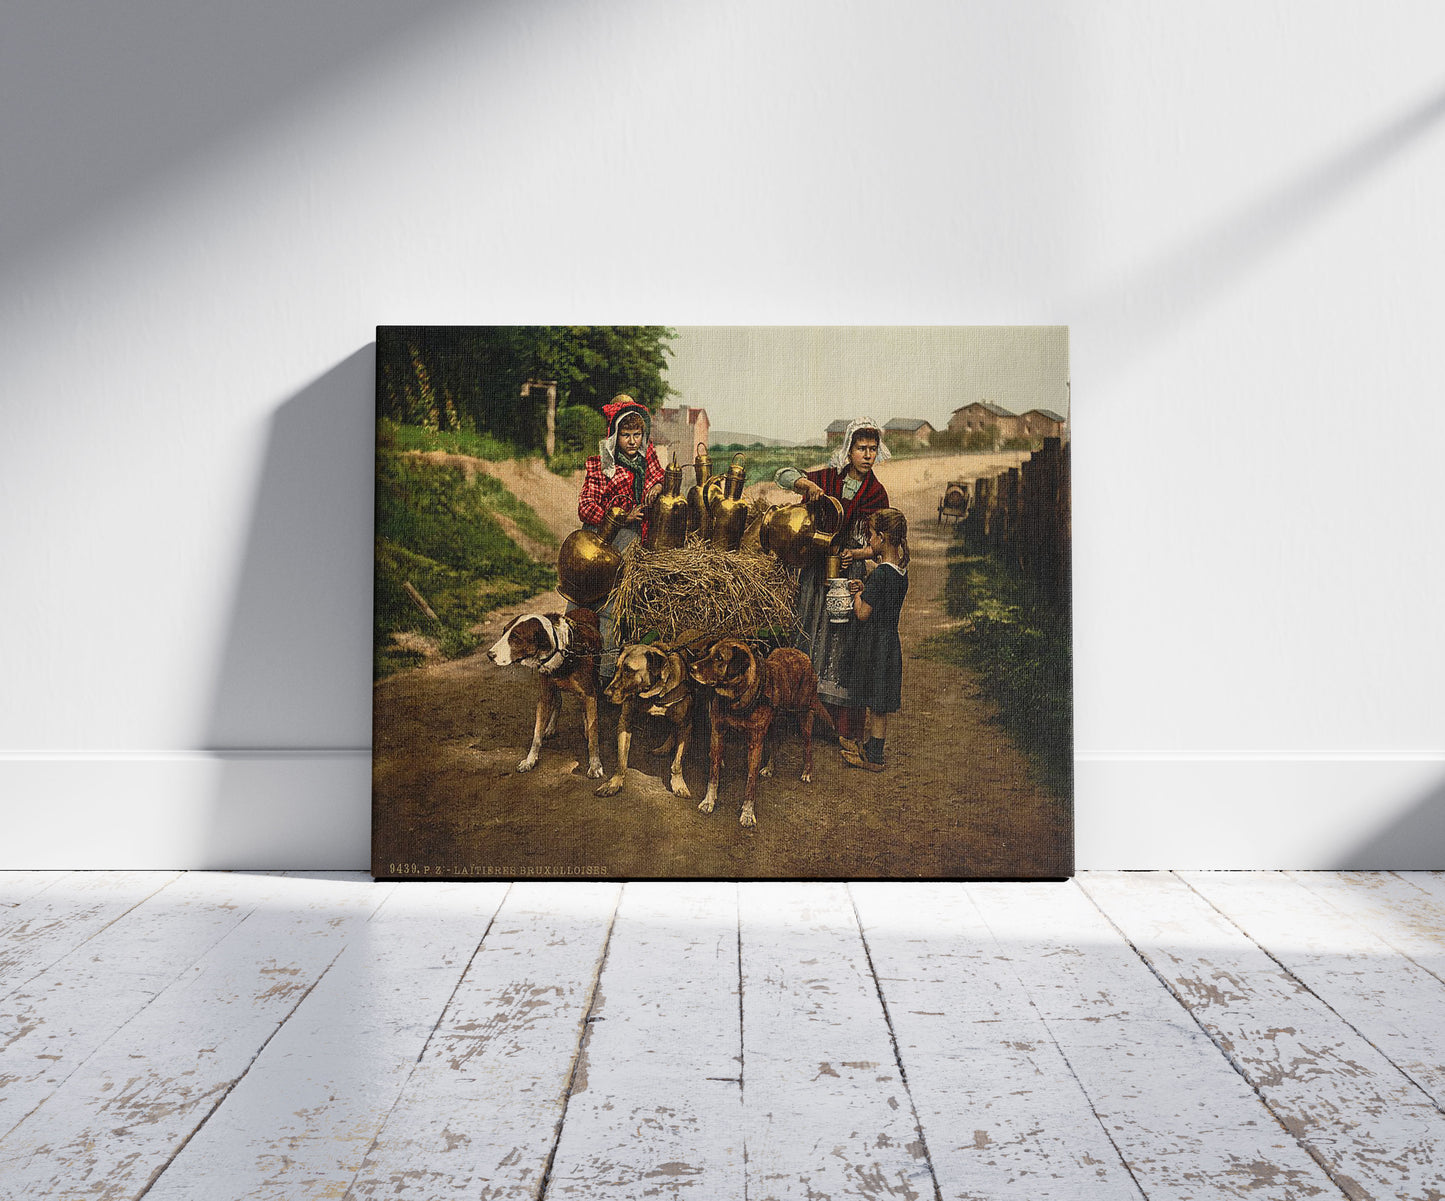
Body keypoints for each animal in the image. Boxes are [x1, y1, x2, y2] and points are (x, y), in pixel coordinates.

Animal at [482, 609, 601, 780]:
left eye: (515, 637)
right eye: (504, 631)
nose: (489, 655)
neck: (562, 651)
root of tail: (585, 609)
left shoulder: (590, 694)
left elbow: (593, 734)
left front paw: (595, 764)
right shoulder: (544, 696)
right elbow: (536, 734)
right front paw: (530, 760)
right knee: (558, 701)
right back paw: (551, 727)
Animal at [592, 644, 693, 803]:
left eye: (628, 670)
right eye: (617, 668)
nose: (606, 694)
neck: (654, 693)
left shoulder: (685, 726)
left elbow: (677, 761)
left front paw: (678, 783)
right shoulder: (625, 722)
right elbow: (621, 760)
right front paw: (614, 782)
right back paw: (664, 748)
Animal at [690, 638, 838, 826]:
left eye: (719, 658)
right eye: (709, 653)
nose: (691, 667)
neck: (737, 698)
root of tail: (802, 654)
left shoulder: (755, 744)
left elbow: (751, 783)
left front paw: (747, 812)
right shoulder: (717, 733)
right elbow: (713, 774)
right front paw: (709, 801)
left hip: (805, 716)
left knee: (808, 747)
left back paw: (807, 772)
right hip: (774, 722)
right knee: (776, 743)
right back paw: (770, 768)